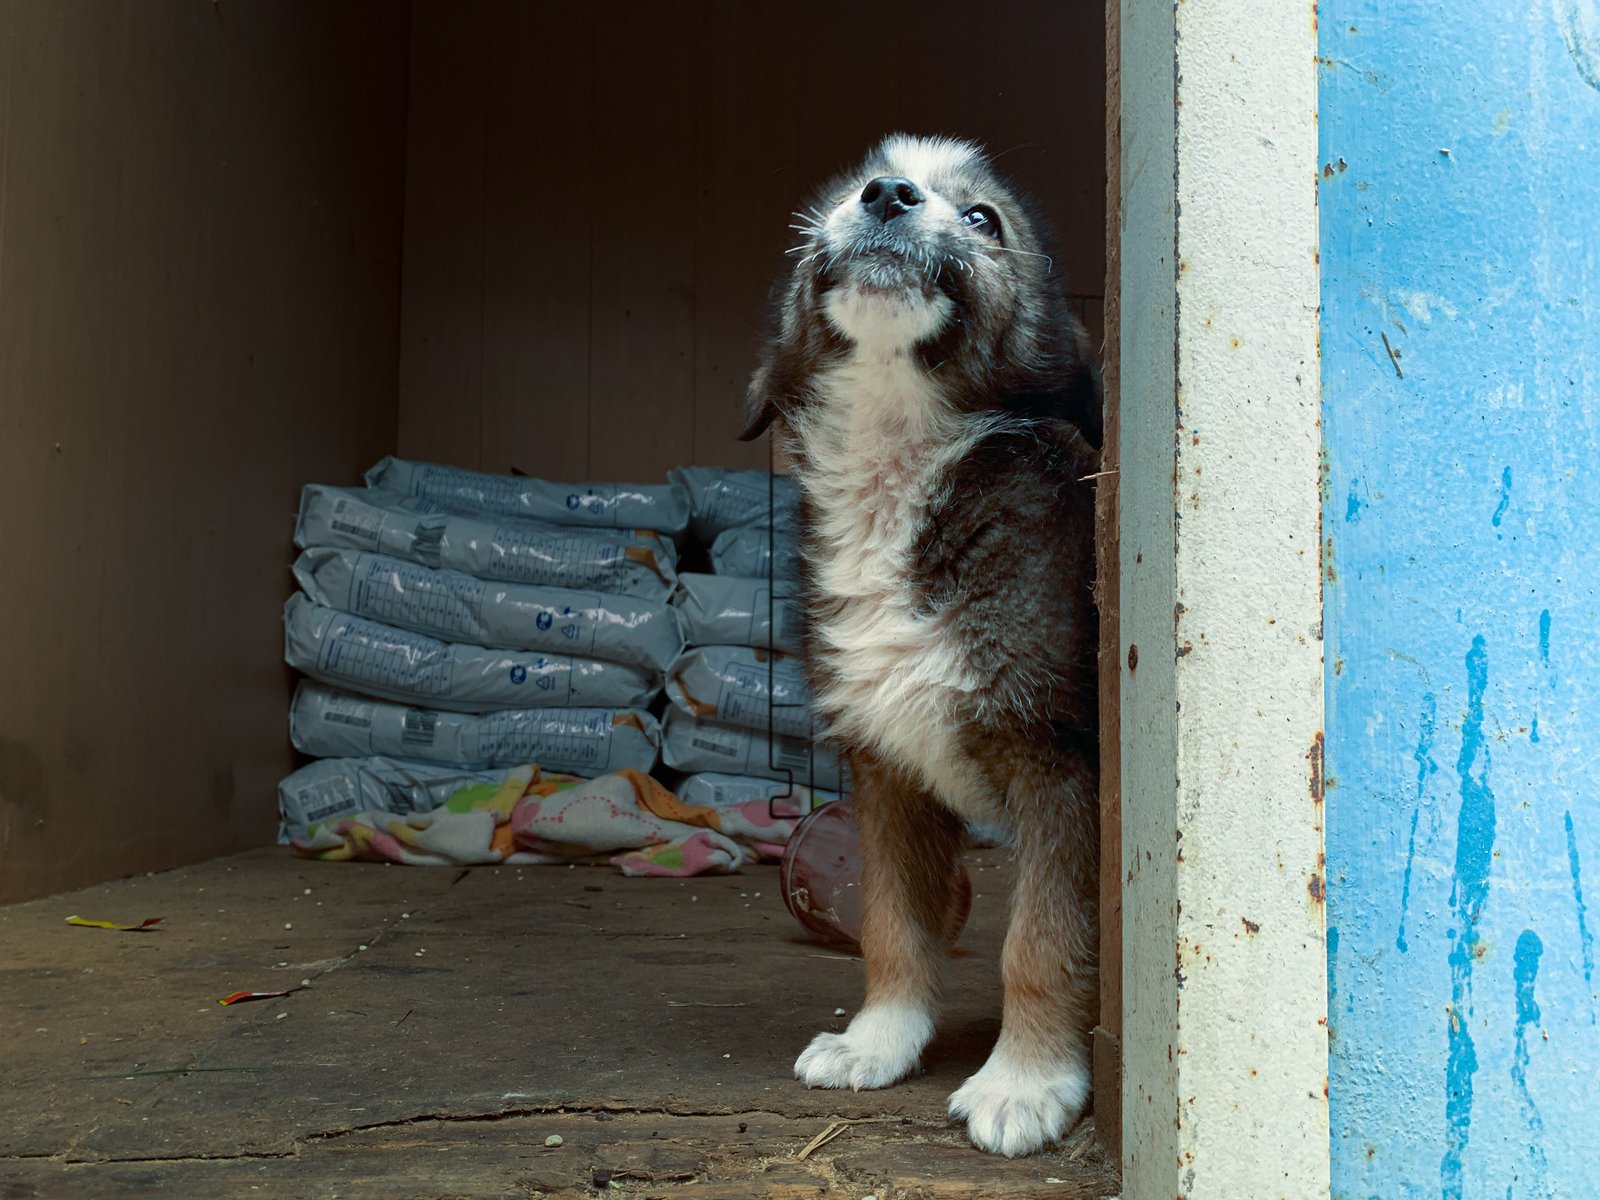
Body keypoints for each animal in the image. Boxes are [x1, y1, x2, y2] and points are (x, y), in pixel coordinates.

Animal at [739, 136, 1100, 1158]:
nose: (889, 195)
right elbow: (892, 925)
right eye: (848, 188)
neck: (896, 452)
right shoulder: (886, 765)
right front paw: (880, 1040)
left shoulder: (1059, 763)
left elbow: (1039, 943)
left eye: (982, 219)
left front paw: (1026, 1083)